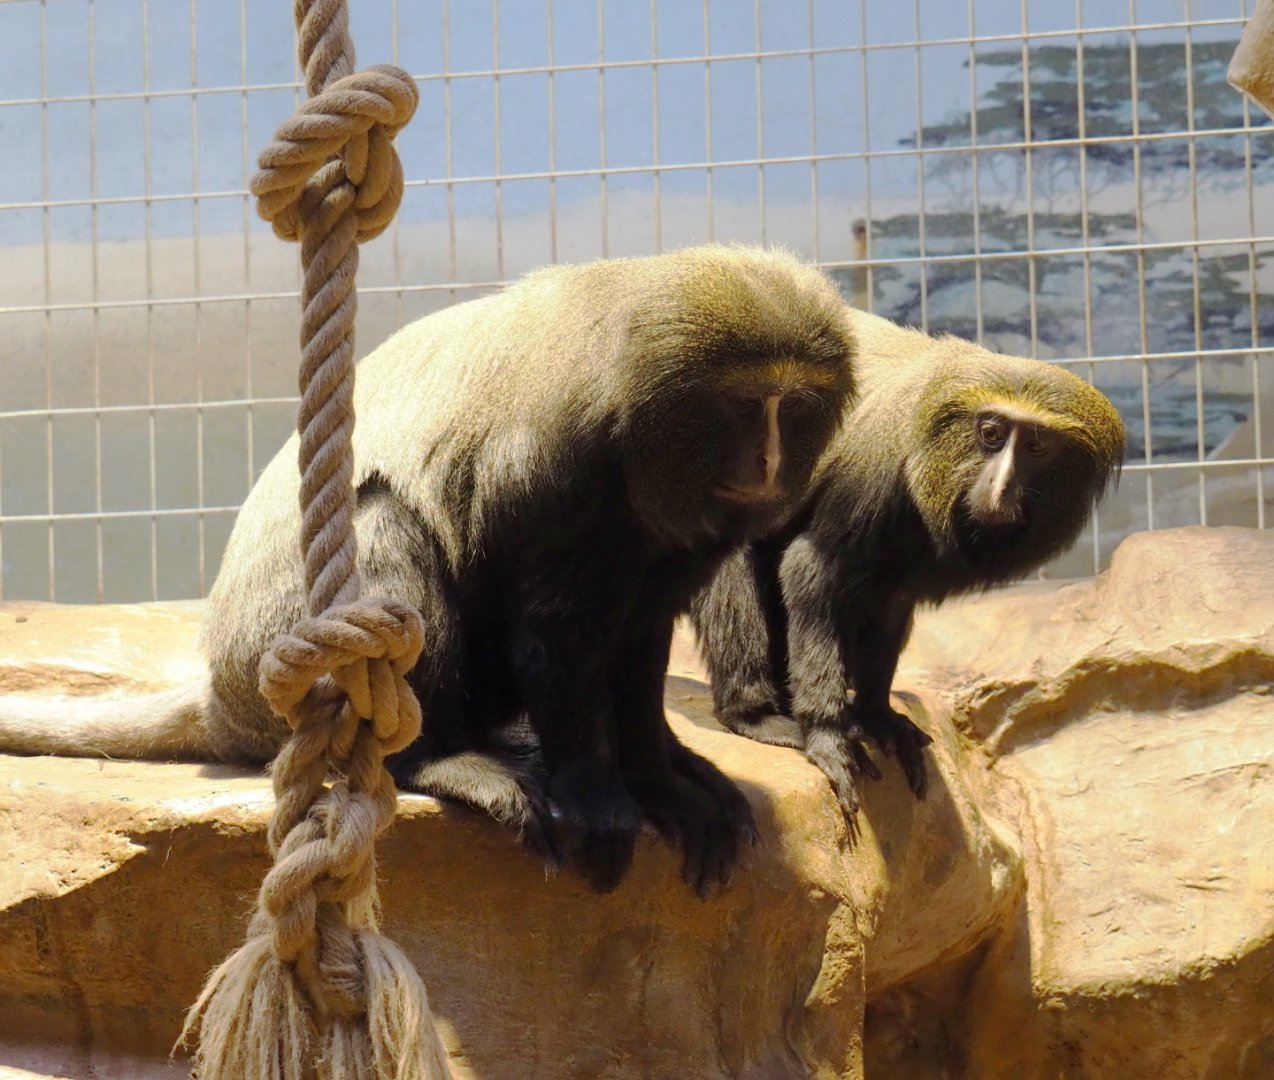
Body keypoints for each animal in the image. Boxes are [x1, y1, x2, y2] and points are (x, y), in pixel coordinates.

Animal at [0, 244, 856, 897]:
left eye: (794, 407)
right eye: (744, 407)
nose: (769, 461)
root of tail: (224, 691)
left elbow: (638, 640)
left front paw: (662, 779)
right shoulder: (562, 464)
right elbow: (555, 635)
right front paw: (595, 795)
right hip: (293, 673)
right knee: (381, 515)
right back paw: (436, 758)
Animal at [691, 308, 1125, 831]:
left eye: (1036, 446)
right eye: (992, 434)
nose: (1000, 486)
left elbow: (889, 604)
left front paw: (877, 714)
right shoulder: (876, 470)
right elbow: (810, 572)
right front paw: (828, 733)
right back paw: (752, 712)